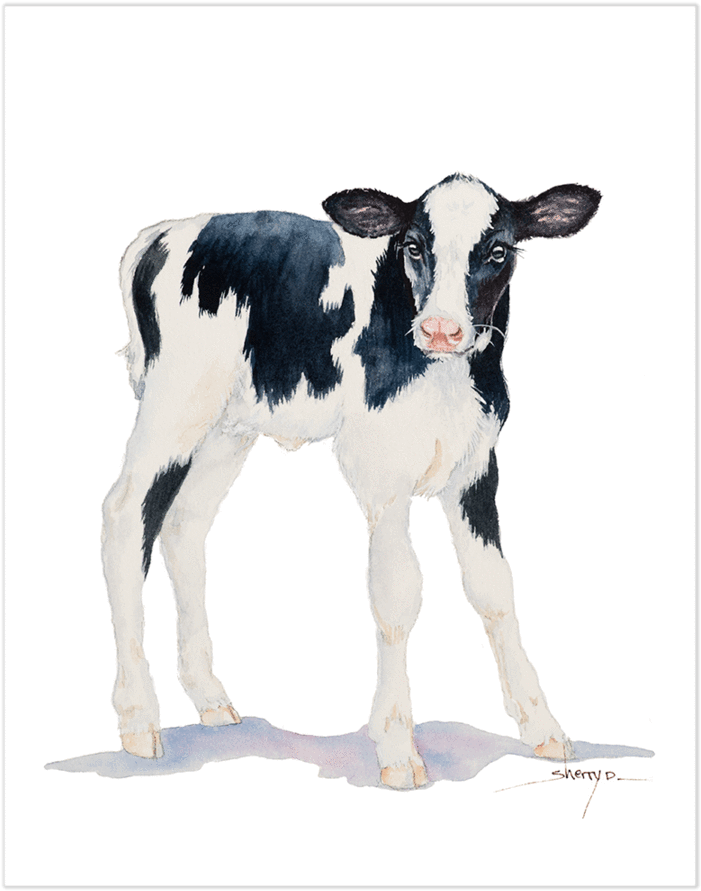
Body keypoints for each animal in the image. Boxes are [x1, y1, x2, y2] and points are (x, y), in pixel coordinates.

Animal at [102, 173, 601, 789]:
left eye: (499, 250)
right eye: (413, 245)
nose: (441, 329)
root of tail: (166, 230)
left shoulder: (476, 466)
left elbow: (494, 590)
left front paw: (543, 727)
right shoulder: (381, 467)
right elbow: (398, 595)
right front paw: (397, 747)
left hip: (227, 425)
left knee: (185, 524)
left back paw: (211, 698)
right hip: (174, 404)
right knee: (126, 515)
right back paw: (137, 718)